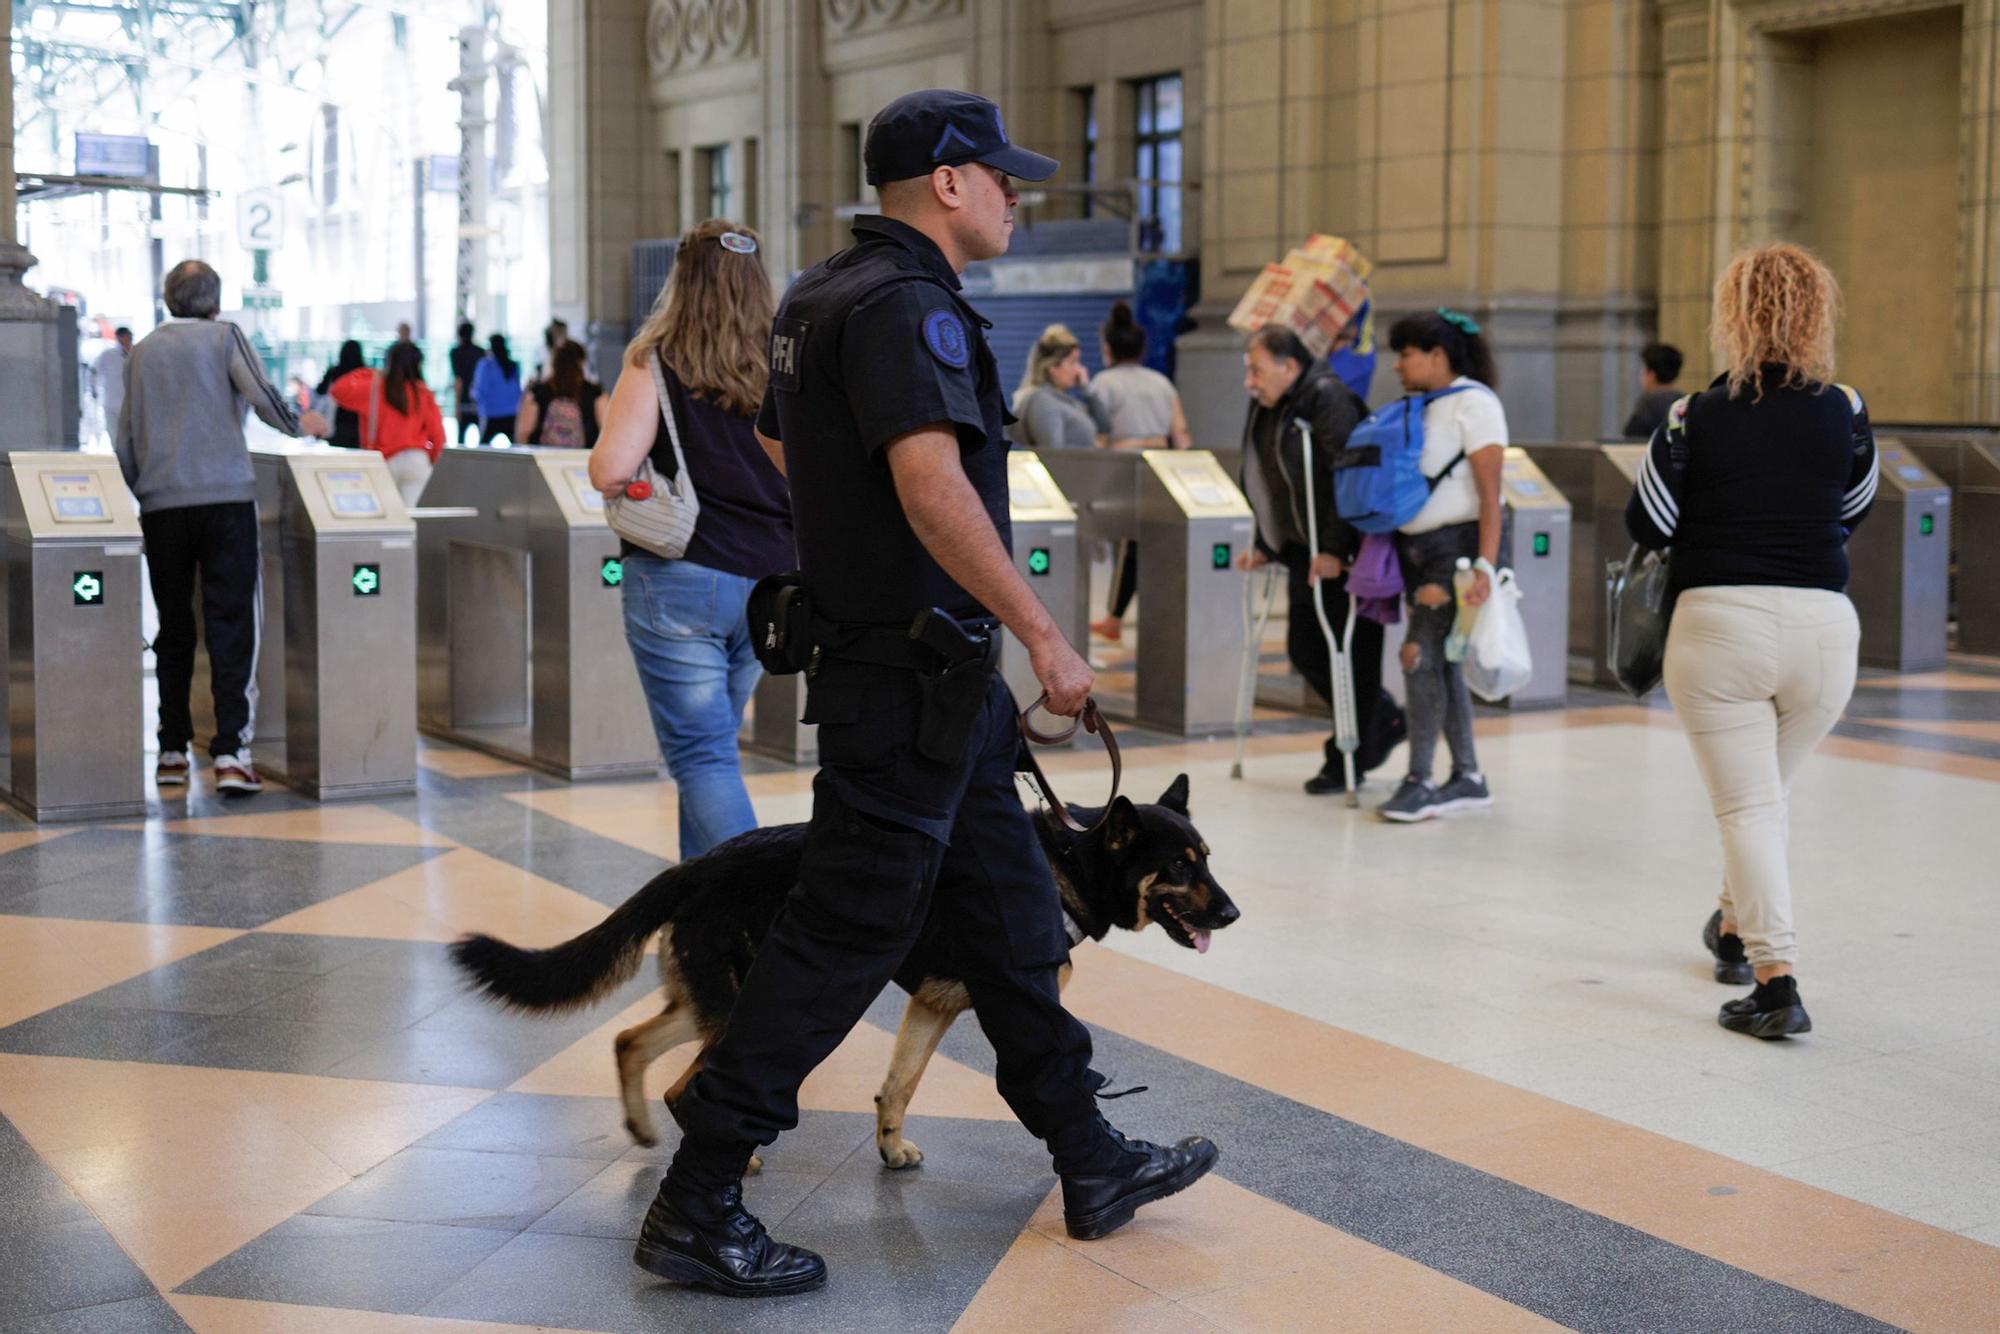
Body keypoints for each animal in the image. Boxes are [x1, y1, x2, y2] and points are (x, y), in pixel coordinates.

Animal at [452, 772, 1232, 1168]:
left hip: (714, 1001)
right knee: (682, 1081)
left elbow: (899, 1085)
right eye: (1179, 867)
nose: (1233, 914)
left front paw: (889, 1150)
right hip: (743, 1009)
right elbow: (1055, 1070)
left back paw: (645, 1131)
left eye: (1208, 859)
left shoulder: (932, 1007)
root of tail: (697, 865)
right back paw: (730, 1158)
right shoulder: (1017, 1001)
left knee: (629, 1042)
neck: (1065, 861)